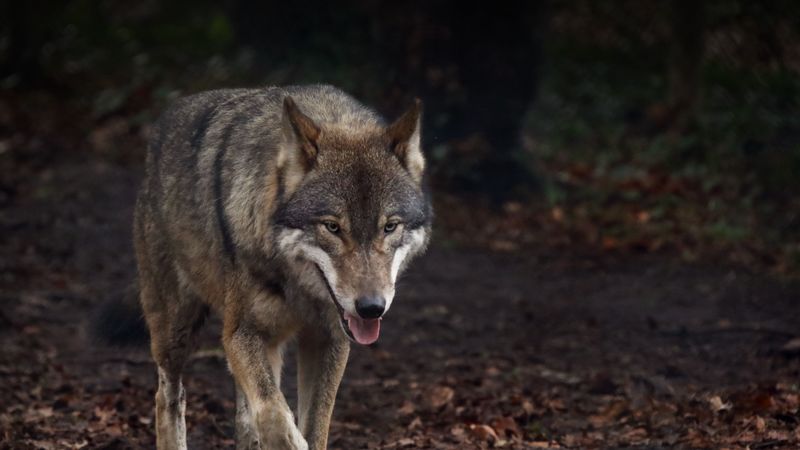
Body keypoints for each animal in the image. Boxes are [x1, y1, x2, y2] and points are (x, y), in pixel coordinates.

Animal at [131, 85, 431, 449]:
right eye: (332, 227)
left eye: (389, 227)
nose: (372, 308)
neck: (297, 288)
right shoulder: (240, 334)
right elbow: (274, 414)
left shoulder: (329, 339)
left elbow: (313, 424)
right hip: (176, 332)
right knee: (168, 397)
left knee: (243, 416)